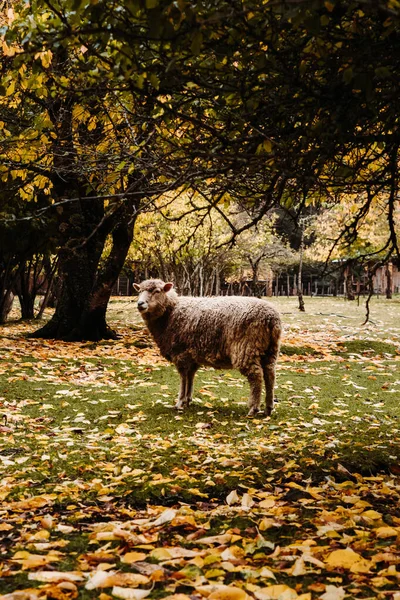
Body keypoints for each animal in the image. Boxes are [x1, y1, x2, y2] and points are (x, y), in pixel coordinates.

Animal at [134, 278, 282, 414]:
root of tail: (271, 318)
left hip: (246, 348)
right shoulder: (191, 356)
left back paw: (253, 408)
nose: (140, 304)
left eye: (157, 291)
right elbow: (190, 376)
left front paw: (180, 402)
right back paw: (268, 408)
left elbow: (183, 377)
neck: (171, 312)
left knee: (256, 376)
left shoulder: (180, 353)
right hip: (270, 350)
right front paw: (188, 400)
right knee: (270, 375)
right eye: (139, 291)